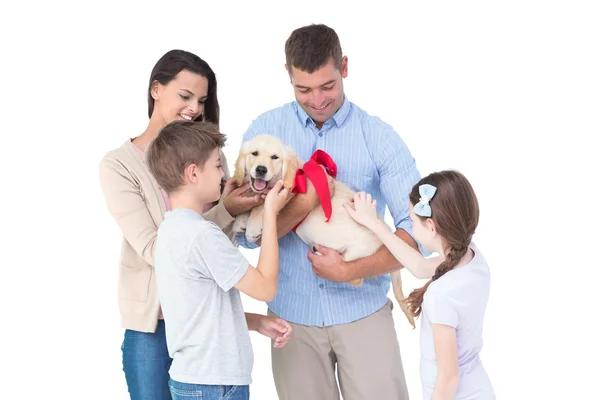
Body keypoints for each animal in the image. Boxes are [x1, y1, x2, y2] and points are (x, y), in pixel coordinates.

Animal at [232, 134, 414, 328]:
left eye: (275, 157)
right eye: (254, 153)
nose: (261, 169)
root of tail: (387, 233)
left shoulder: (288, 195)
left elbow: (261, 205)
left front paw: (251, 226)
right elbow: (253, 203)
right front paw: (240, 221)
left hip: (357, 252)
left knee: (356, 278)